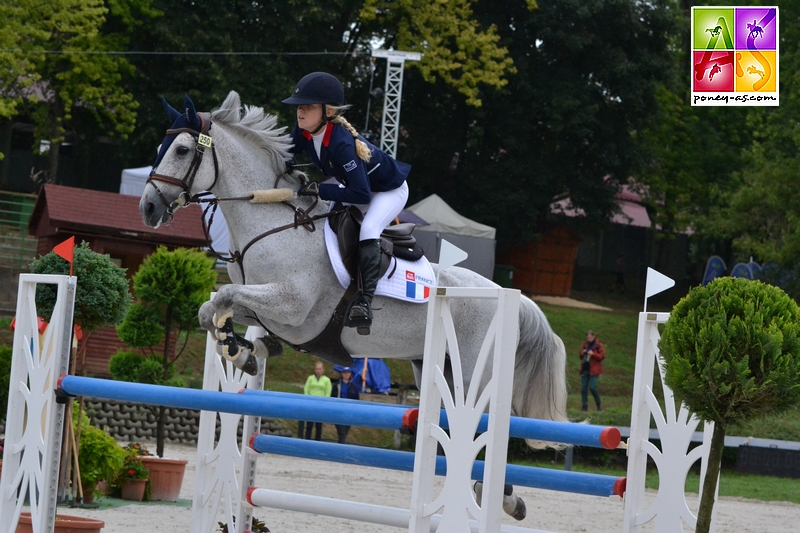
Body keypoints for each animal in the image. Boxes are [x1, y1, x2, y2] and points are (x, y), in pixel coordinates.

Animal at [141, 92, 572, 520]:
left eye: (181, 150)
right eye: (161, 147)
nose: (148, 208)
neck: (272, 223)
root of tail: (511, 297)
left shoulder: (293, 306)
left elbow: (226, 298)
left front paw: (242, 350)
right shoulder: (269, 306)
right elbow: (212, 309)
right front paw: (246, 350)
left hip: (473, 373)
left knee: (490, 422)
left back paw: (502, 496)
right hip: (439, 370)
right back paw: (501, 495)